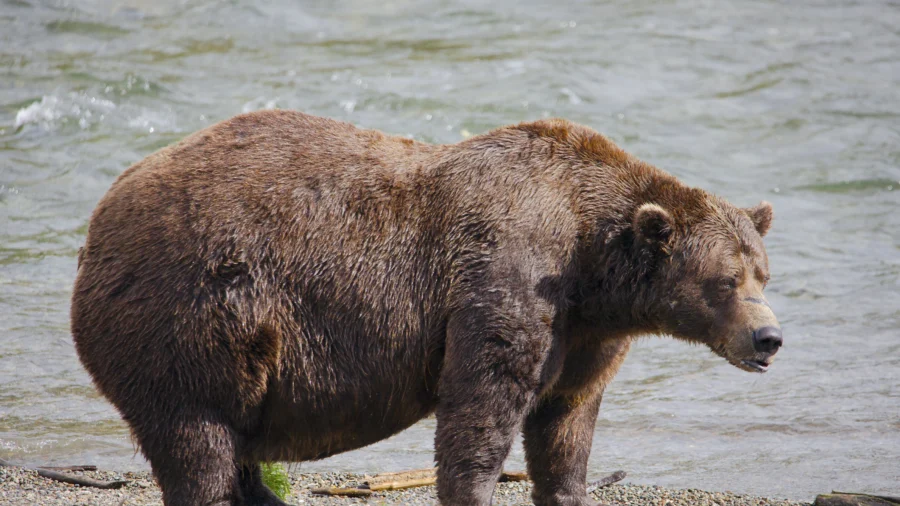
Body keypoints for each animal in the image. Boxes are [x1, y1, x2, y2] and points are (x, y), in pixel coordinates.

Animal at [72, 111, 780, 506]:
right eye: (725, 280)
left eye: (764, 273)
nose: (768, 338)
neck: (592, 263)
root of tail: (98, 222)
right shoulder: (508, 275)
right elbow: (482, 405)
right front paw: (474, 487)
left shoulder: (585, 335)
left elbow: (566, 422)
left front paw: (566, 487)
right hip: (192, 314)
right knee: (199, 442)